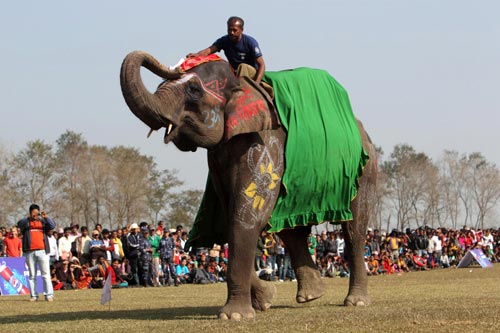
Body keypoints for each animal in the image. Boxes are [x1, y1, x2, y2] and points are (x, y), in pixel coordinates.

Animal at [121, 51, 376, 320]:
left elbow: (246, 216)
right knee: (291, 229)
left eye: (194, 89)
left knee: (354, 229)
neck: (241, 83)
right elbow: (233, 214)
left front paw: (234, 316)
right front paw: (265, 299)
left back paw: (355, 301)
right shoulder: (218, 159)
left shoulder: (265, 144)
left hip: (365, 171)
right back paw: (311, 295)